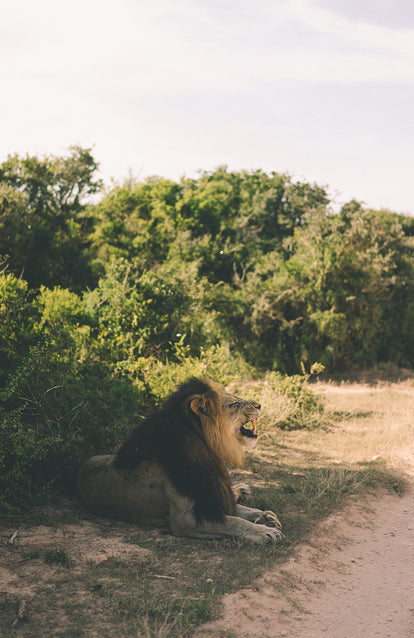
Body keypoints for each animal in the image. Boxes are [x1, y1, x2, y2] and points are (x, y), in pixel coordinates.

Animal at [78, 378, 284, 548]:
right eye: (233, 403)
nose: (259, 404)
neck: (206, 444)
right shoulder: (184, 520)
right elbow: (234, 521)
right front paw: (265, 531)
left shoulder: (210, 497)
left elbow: (241, 511)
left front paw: (265, 516)